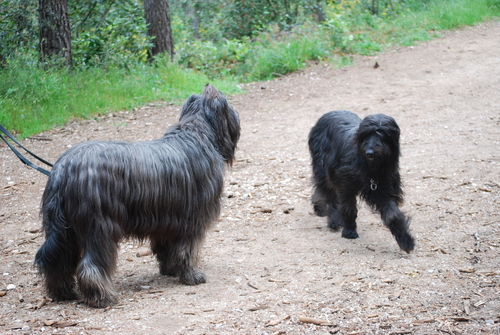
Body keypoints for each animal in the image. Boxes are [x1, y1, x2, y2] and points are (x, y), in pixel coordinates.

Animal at [34, 84, 240, 310]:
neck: (195, 133)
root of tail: (62, 169)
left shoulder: (167, 218)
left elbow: (166, 248)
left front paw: (170, 270)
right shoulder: (192, 219)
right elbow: (186, 250)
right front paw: (191, 275)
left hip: (63, 228)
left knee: (55, 259)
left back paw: (62, 292)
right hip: (99, 225)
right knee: (90, 264)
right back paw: (102, 297)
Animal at [308, 111, 414, 253]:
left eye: (382, 134)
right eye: (366, 134)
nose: (370, 152)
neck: (371, 167)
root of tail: (328, 114)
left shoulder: (382, 190)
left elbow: (393, 215)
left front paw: (406, 240)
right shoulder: (346, 185)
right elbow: (349, 209)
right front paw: (349, 231)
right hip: (324, 169)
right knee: (329, 194)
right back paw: (333, 219)